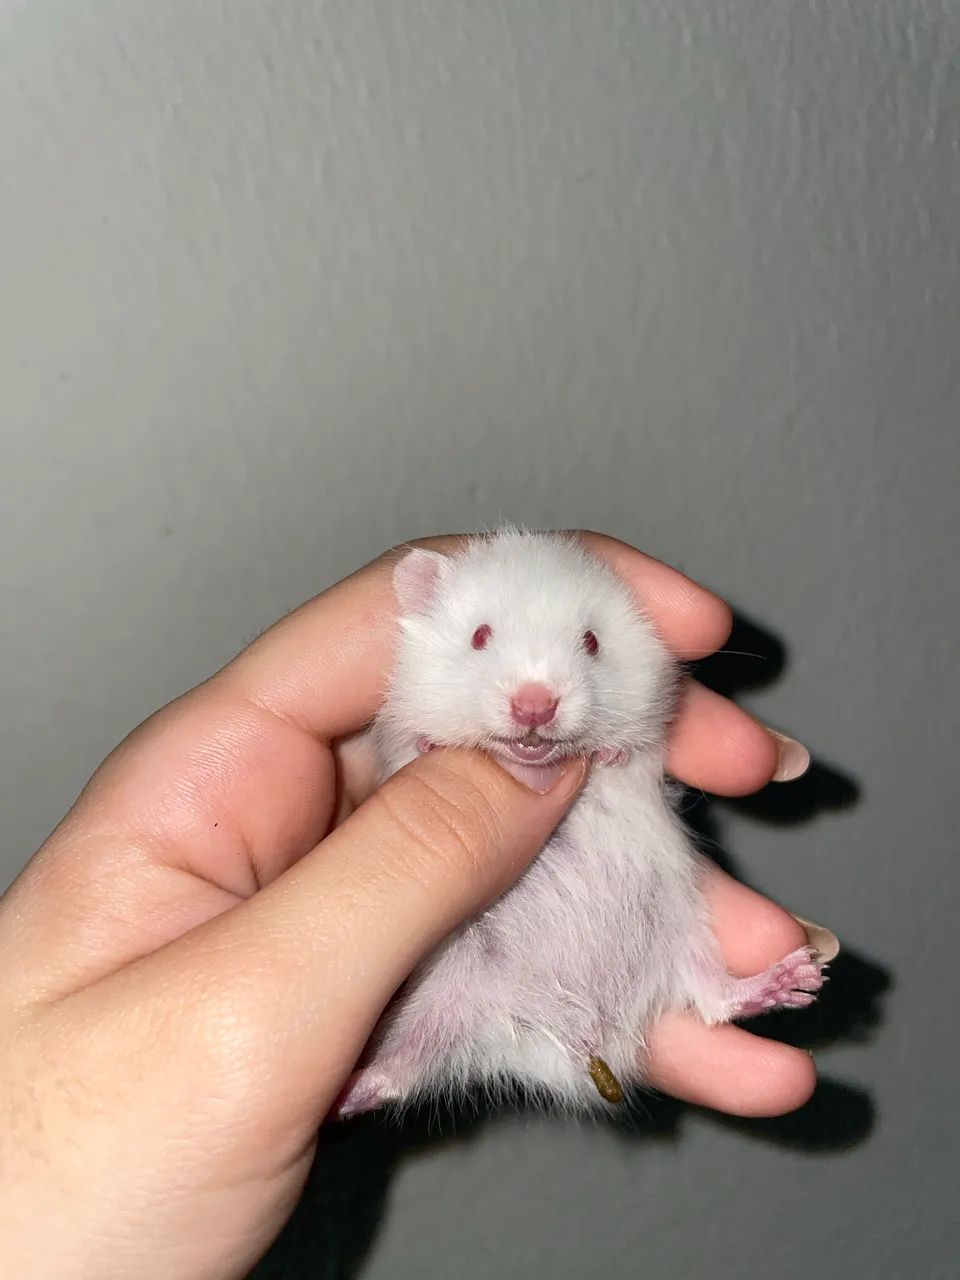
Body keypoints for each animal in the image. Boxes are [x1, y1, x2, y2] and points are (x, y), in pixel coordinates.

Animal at [336, 527, 824, 1116]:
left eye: (591, 642)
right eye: (479, 635)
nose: (535, 707)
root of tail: (578, 1041)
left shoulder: (649, 747)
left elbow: (631, 751)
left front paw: (607, 753)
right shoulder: (391, 736)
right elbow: (412, 742)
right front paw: (440, 743)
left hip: (677, 922)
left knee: (712, 997)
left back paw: (799, 979)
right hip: (447, 989)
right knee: (402, 1071)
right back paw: (348, 1093)